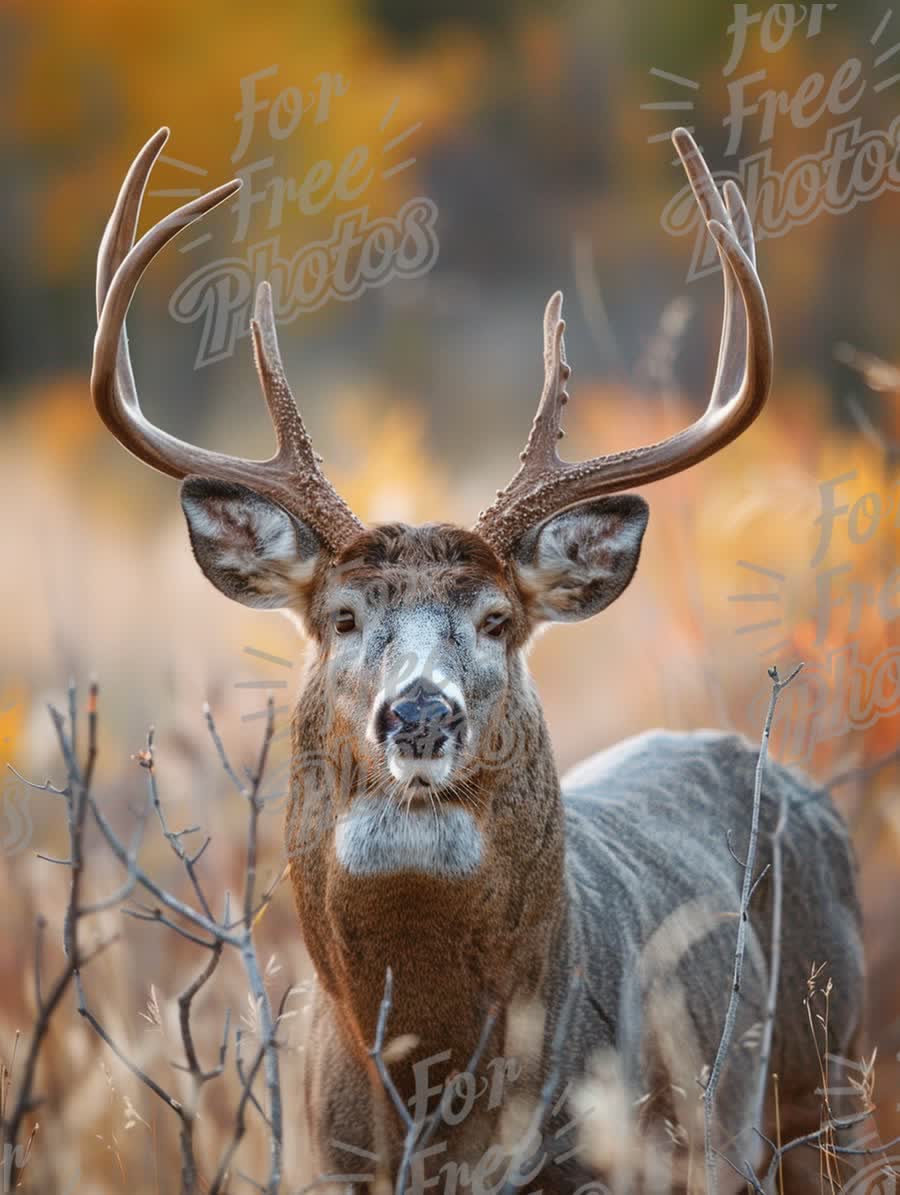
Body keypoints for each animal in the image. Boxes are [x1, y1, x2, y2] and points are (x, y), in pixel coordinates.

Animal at [93, 126, 865, 1190]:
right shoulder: (329, 1160)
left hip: (833, 1086)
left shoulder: (598, 1160)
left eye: (498, 618)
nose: (421, 713)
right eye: (341, 616)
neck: (435, 1087)